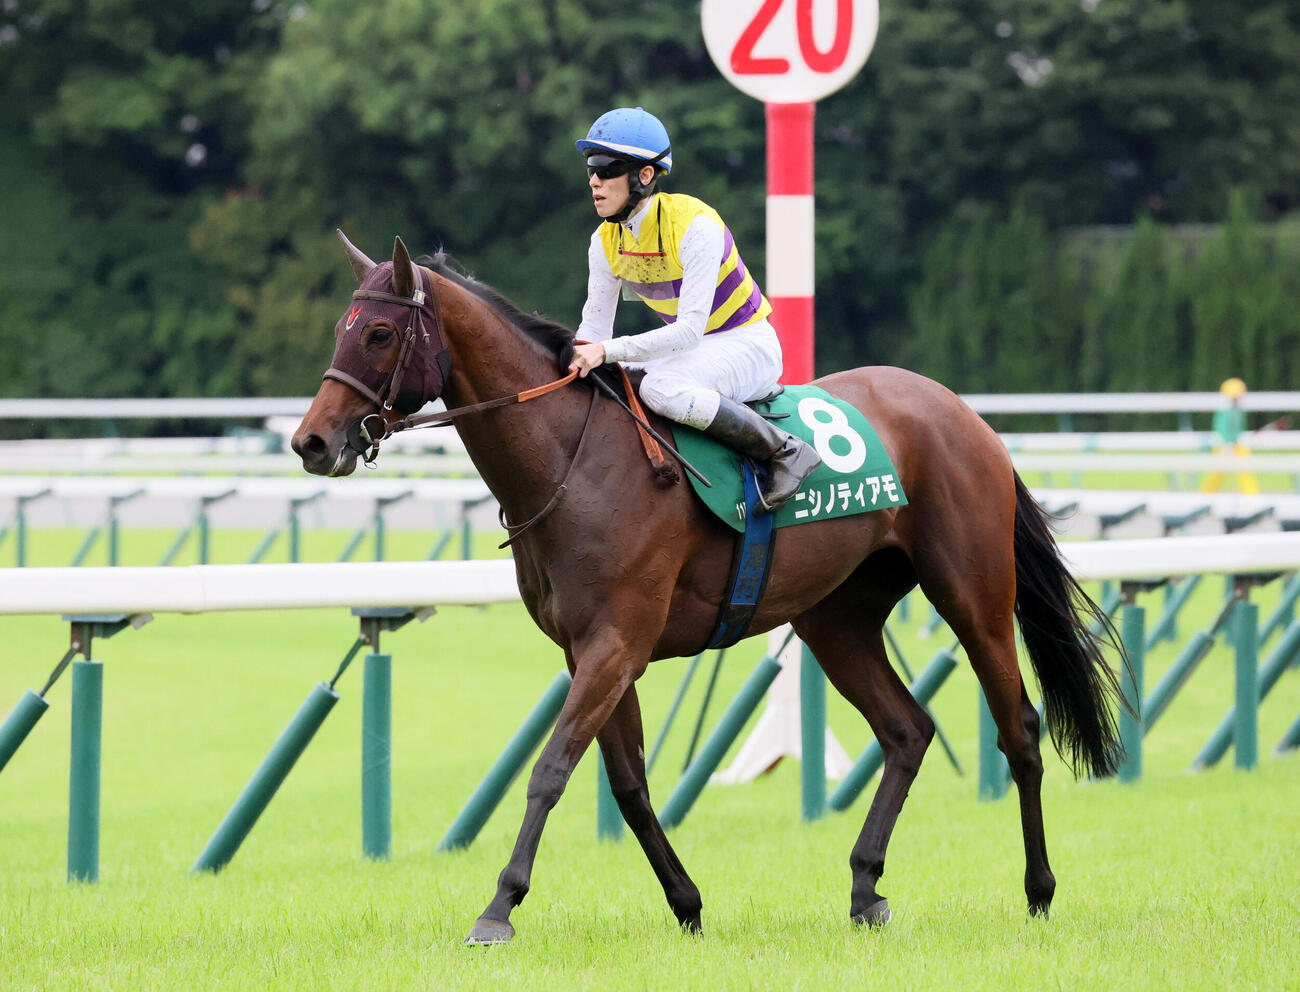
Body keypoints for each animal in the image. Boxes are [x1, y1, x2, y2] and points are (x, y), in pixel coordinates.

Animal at [292, 233, 1126, 945]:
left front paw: (499, 906)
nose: (311, 441)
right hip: (839, 619)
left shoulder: (616, 641)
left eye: (377, 333)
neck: (573, 460)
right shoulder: (590, 651)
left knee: (1019, 728)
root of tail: (965, 415)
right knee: (906, 730)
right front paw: (687, 903)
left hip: (973, 593)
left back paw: (1039, 890)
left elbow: (552, 769)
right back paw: (866, 889)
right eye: (341, 327)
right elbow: (628, 786)